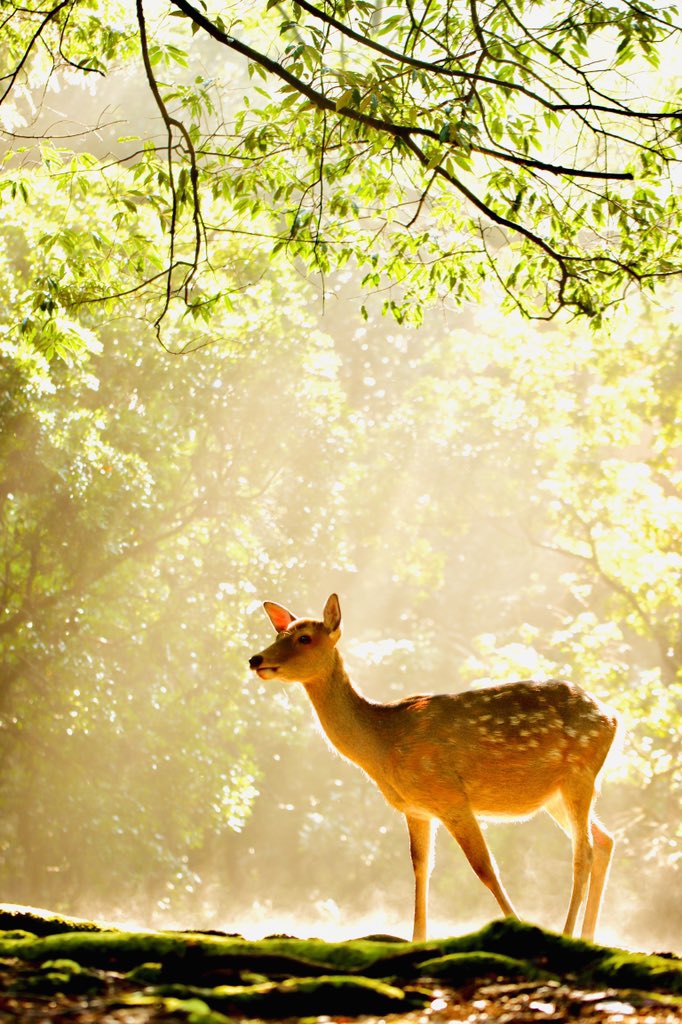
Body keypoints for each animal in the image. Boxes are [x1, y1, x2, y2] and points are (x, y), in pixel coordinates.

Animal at [248, 593, 614, 942]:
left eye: (305, 638)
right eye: (279, 633)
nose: (256, 659)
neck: (382, 743)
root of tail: (611, 717)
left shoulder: (450, 796)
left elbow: (484, 866)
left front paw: (517, 926)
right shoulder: (416, 809)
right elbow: (421, 867)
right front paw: (418, 939)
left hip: (580, 774)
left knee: (584, 851)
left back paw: (569, 933)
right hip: (555, 795)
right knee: (605, 840)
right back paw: (589, 935)